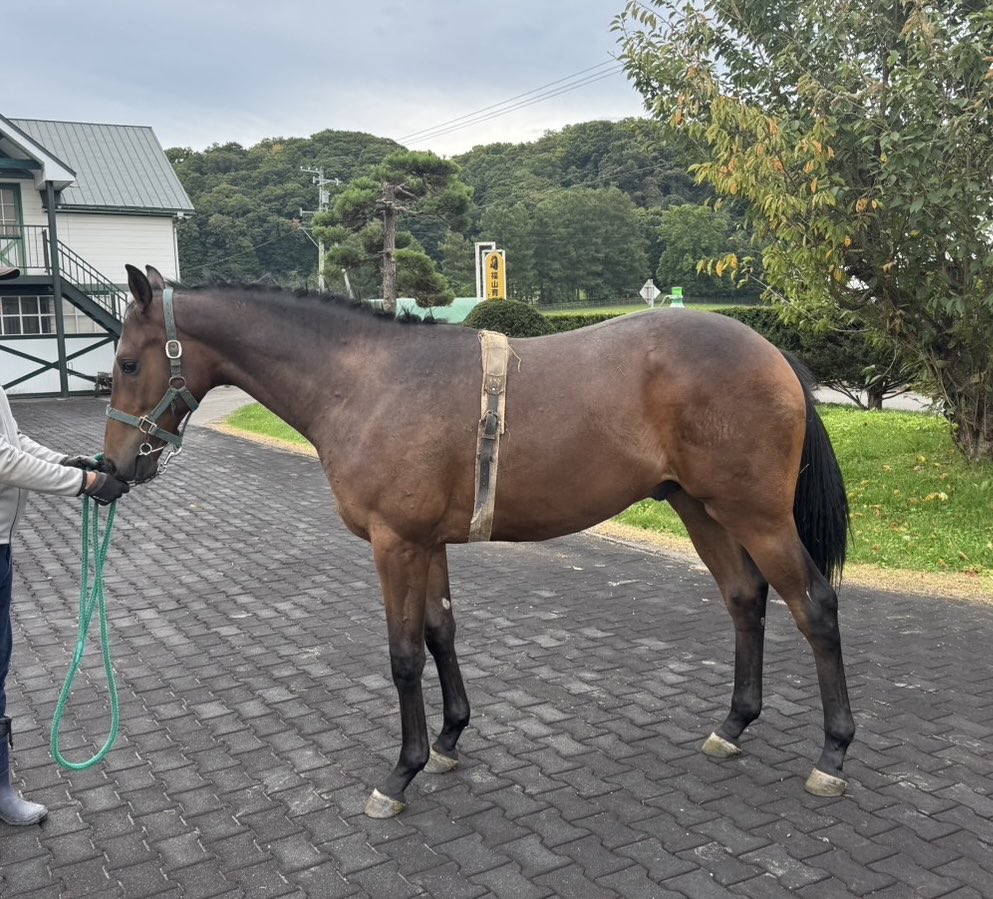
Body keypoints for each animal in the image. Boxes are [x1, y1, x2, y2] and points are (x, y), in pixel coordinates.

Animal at [103, 264, 855, 818]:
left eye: (128, 362)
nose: (111, 470)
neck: (368, 381)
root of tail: (770, 351)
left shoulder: (395, 544)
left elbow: (405, 654)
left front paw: (400, 773)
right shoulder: (426, 543)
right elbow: (441, 633)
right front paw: (447, 740)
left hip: (756, 514)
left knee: (813, 605)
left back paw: (832, 754)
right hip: (701, 509)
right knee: (744, 597)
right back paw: (733, 725)